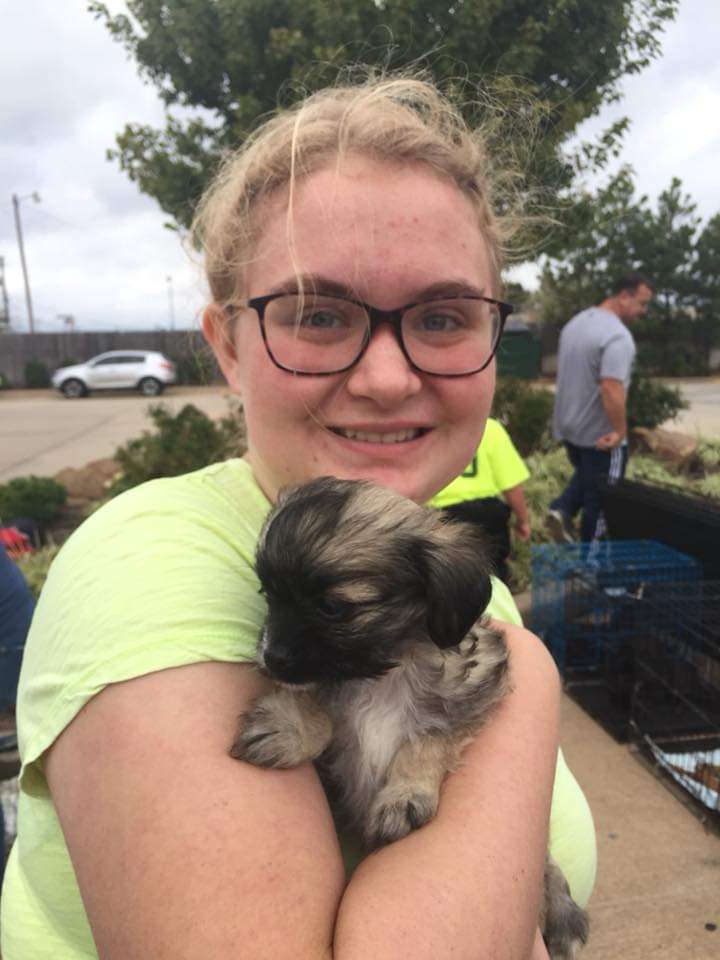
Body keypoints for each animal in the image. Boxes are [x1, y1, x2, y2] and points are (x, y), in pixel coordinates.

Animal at [233, 476, 588, 956]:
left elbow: (429, 739)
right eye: (268, 595)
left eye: (333, 607)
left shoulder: (473, 692)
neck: (384, 674)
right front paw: (291, 728)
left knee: (550, 871)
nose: (270, 658)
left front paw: (403, 797)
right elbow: (325, 711)